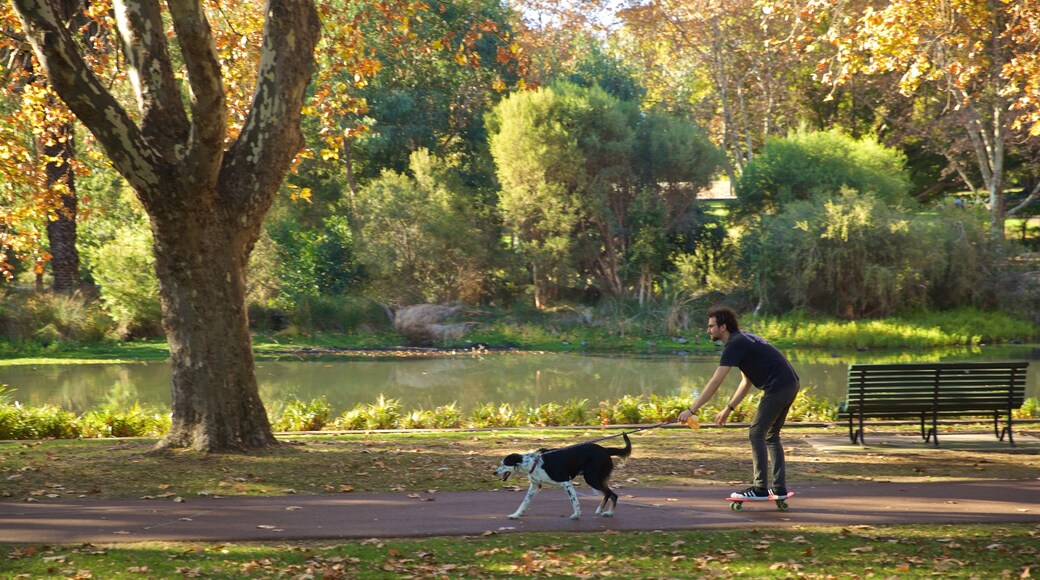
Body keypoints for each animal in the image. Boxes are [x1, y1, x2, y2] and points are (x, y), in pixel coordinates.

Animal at [490, 434, 628, 519]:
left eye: (504, 464)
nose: (494, 473)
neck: (533, 463)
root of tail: (605, 449)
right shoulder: (535, 486)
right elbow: (524, 503)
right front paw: (516, 515)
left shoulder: (566, 482)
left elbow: (574, 501)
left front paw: (576, 515)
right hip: (596, 478)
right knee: (611, 494)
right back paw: (605, 511)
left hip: (591, 478)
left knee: (610, 493)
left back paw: (606, 512)